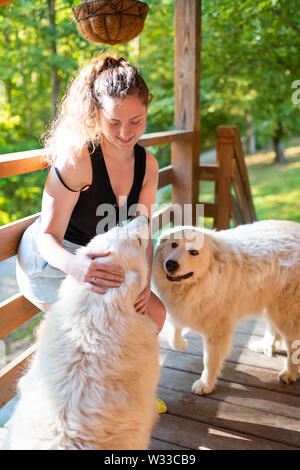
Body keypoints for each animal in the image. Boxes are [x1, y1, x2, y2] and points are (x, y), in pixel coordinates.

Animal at [154, 218, 300, 394]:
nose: (171, 265)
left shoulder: (217, 331)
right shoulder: (180, 310)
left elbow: (210, 360)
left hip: (285, 312)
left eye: (194, 252)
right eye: (174, 245)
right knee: (273, 330)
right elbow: (174, 335)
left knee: (293, 344)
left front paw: (206, 384)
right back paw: (264, 346)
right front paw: (182, 344)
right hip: (272, 306)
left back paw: (290, 373)